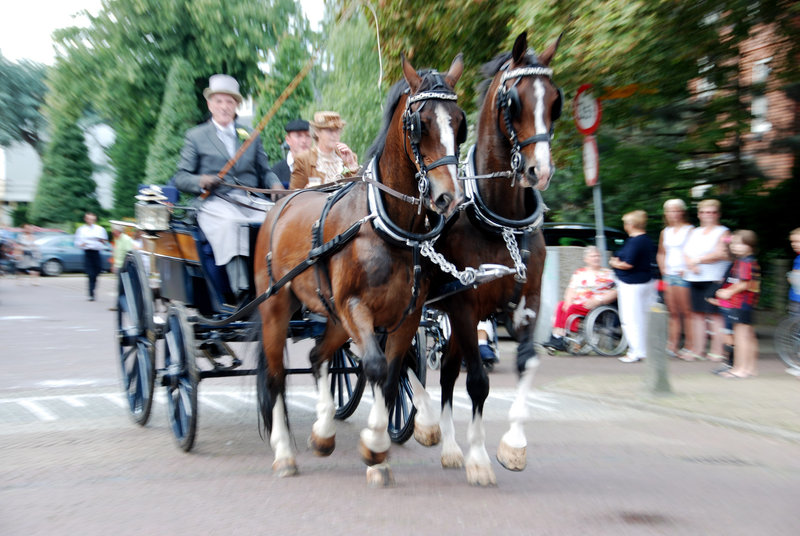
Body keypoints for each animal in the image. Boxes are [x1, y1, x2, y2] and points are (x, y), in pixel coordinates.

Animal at [255, 54, 468, 486]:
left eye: (459, 121)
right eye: (419, 123)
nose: (448, 198)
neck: (389, 228)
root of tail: (279, 205)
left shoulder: (406, 316)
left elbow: (391, 373)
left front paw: (380, 448)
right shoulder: (356, 306)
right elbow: (373, 366)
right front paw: (375, 444)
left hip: (333, 317)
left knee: (318, 356)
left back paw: (322, 433)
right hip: (277, 308)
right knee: (275, 377)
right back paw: (284, 453)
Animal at [406, 32, 564, 486]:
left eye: (555, 101)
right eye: (514, 101)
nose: (539, 171)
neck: (498, 220)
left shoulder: (526, 302)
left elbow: (527, 363)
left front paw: (513, 446)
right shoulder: (463, 304)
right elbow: (476, 382)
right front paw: (478, 459)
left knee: (444, 371)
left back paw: (449, 447)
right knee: (404, 359)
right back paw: (427, 424)